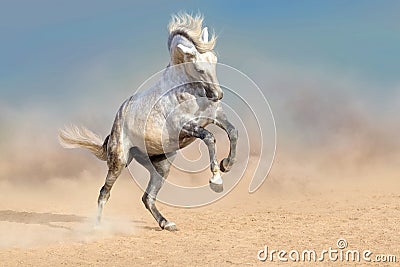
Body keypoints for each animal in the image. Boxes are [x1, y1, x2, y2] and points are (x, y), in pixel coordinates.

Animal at [59, 12, 238, 231]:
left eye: (214, 60)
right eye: (198, 67)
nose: (217, 95)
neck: (186, 90)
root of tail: (116, 123)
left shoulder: (214, 117)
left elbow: (232, 132)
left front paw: (226, 165)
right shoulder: (186, 126)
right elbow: (210, 138)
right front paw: (216, 180)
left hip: (161, 165)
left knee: (147, 197)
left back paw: (167, 223)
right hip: (119, 162)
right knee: (104, 193)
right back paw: (97, 228)